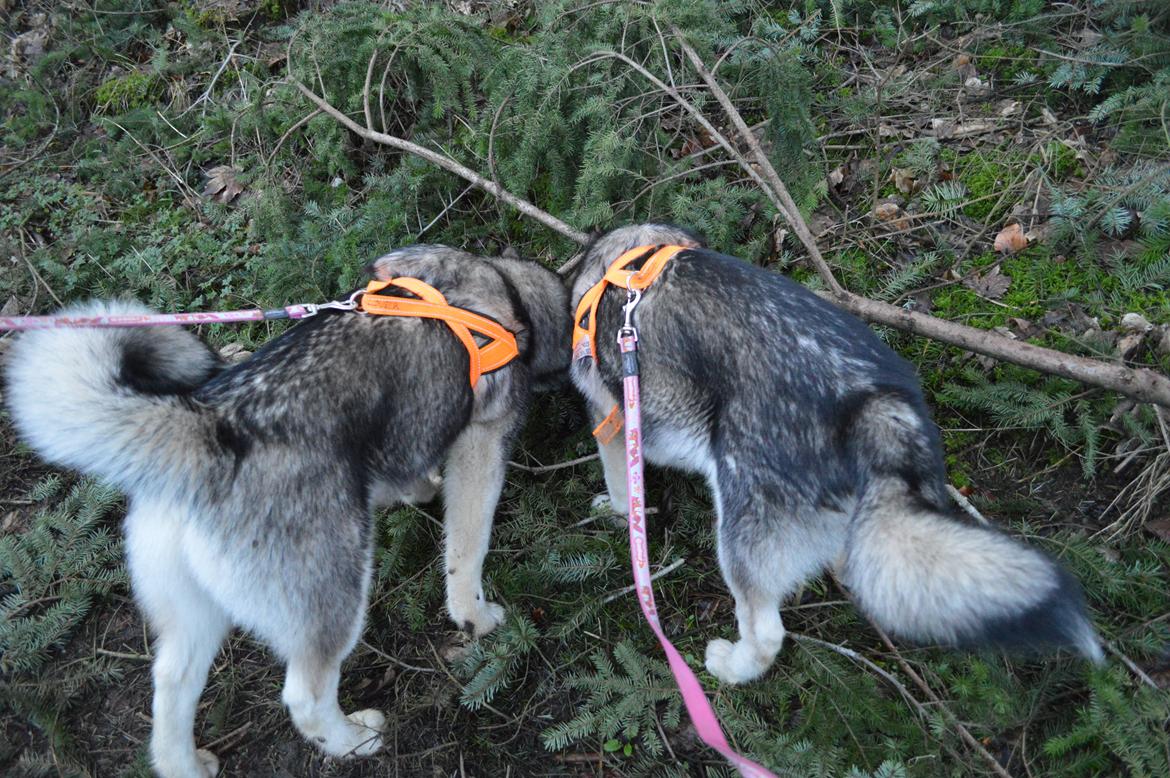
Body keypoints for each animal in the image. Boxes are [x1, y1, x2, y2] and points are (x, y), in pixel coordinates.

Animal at [3, 249, 570, 776]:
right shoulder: (482, 441)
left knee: (169, 686)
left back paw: (187, 765)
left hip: (193, 619)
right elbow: (467, 547)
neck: (502, 289)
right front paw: (476, 616)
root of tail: (206, 433)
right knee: (305, 697)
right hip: (335, 598)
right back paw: (354, 740)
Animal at [570, 221, 1099, 683]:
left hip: (739, 531)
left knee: (767, 631)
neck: (635, 253)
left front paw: (615, 512)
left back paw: (732, 667)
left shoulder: (609, 419)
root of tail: (870, 406)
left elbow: (620, 487)